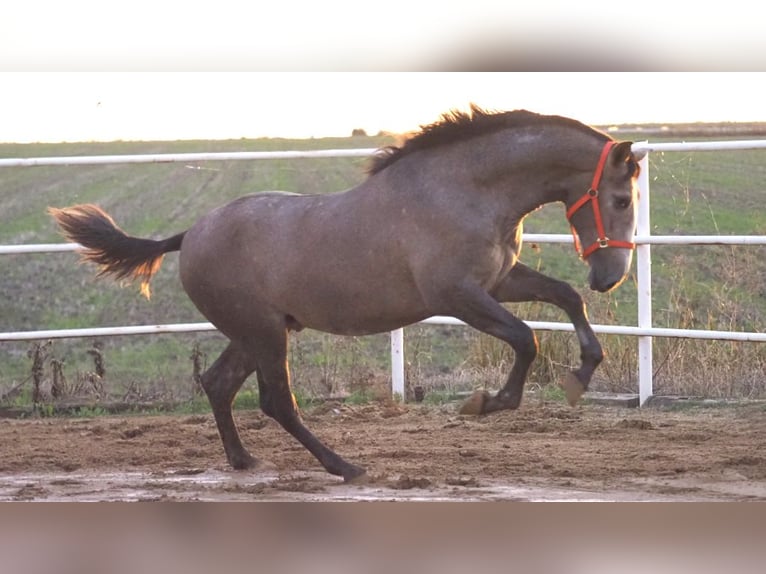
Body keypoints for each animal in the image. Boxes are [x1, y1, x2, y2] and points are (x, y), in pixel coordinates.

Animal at [51, 106, 644, 484]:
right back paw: (345, 467)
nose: (610, 276)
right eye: (619, 198)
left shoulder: (500, 281)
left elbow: (566, 298)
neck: (464, 191)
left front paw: (581, 373)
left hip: (258, 331)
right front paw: (485, 403)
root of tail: (189, 234)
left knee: (218, 384)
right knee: (275, 401)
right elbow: (525, 340)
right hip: (263, 333)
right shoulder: (457, 296)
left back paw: (245, 461)